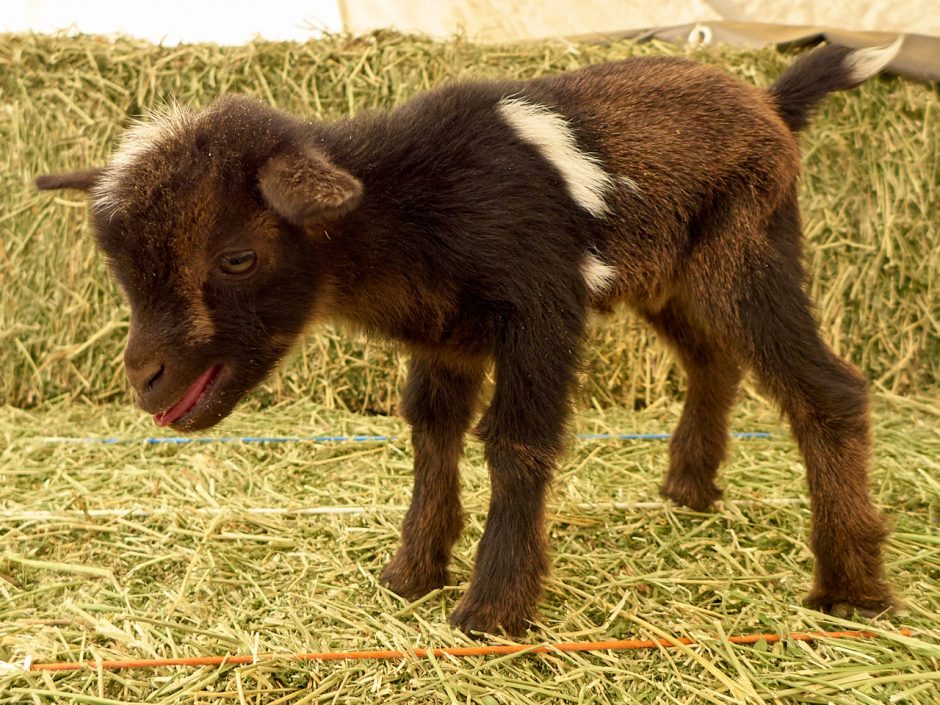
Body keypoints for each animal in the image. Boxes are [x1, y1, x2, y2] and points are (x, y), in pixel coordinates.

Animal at [36, 40, 902, 635]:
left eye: (237, 256)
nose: (143, 376)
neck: (407, 206)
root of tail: (770, 99)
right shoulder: (446, 333)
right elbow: (431, 430)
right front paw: (411, 571)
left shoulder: (542, 307)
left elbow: (514, 440)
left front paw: (492, 610)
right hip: (675, 272)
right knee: (712, 358)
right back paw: (689, 487)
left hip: (750, 249)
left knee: (827, 390)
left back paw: (850, 587)